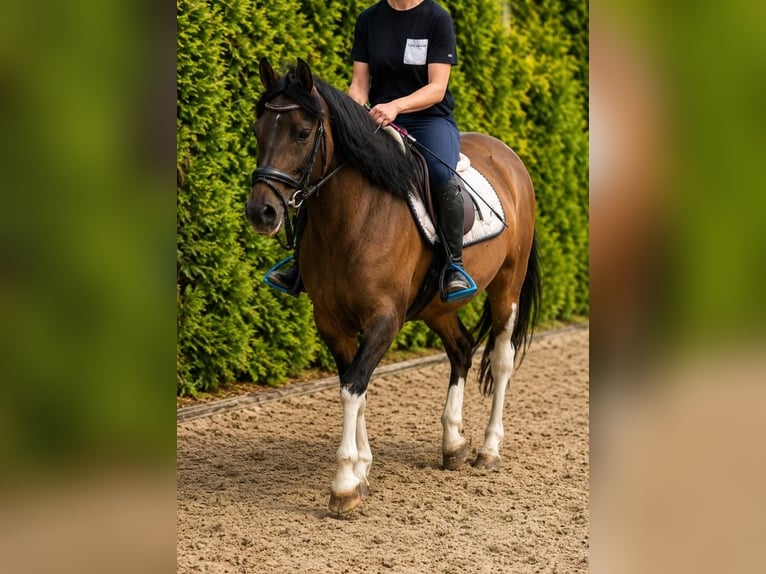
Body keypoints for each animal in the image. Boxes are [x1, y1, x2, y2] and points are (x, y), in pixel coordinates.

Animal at [246, 58, 541, 515]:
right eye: (259, 129)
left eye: (302, 132)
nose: (261, 212)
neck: (353, 217)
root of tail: (509, 158)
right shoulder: (330, 321)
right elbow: (354, 385)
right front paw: (362, 469)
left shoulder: (384, 318)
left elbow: (353, 386)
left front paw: (345, 483)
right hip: (438, 304)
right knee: (461, 350)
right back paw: (453, 444)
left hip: (507, 286)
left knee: (502, 359)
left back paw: (489, 450)